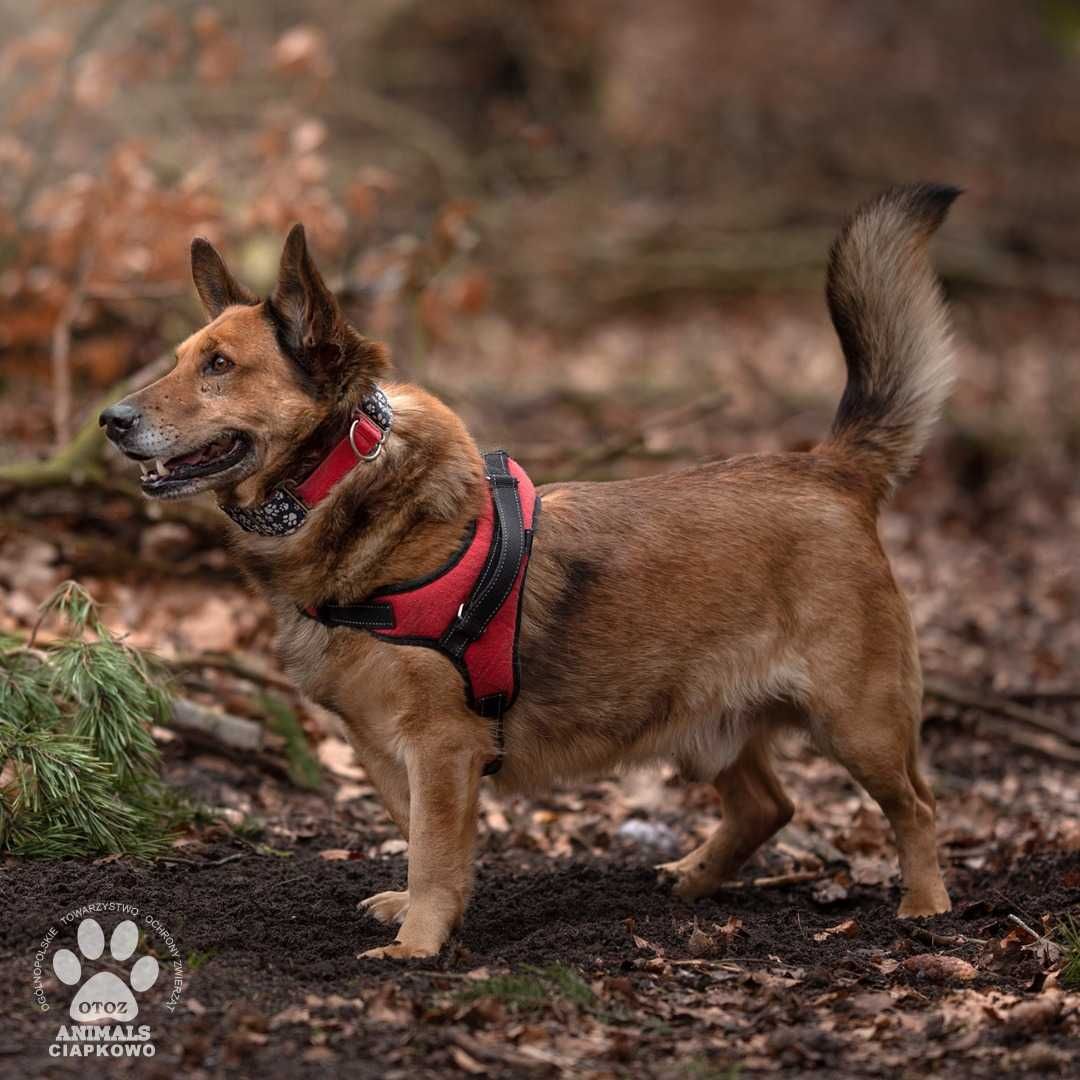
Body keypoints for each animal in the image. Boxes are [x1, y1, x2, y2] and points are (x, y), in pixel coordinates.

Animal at [103, 187, 954, 963]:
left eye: (219, 366)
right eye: (179, 361)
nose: (110, 420)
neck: (349, 482)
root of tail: (831, 469)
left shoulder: (441, 747)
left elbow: (433, 849)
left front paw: (417, 945)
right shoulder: (383, 748)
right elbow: (418, 836)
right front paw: (419, 912)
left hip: (858, 723)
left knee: (917, 807)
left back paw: (925, 905)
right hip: (701, 724)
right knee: (767, 807)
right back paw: (693, 878)